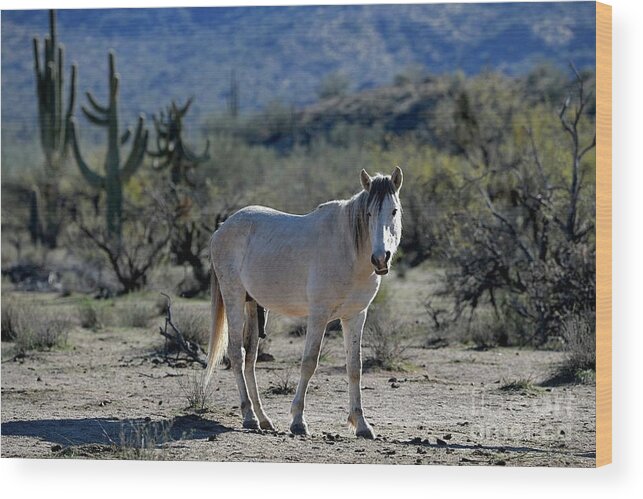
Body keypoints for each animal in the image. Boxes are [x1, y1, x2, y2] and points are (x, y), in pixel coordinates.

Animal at [208, 167, 402, 438]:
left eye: (394, 211)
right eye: (369, 213)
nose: (380, 258)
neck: (349, 252)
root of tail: (222, 228)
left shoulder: (355, 316)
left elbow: (355, 367)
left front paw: (362, 424)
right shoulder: (319, 316)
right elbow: (309, 362)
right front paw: (298, 421)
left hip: (252, 304)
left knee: (251, 359)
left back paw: (264, 419)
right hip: (233, 298)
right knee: (237, 353)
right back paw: (249, 417)